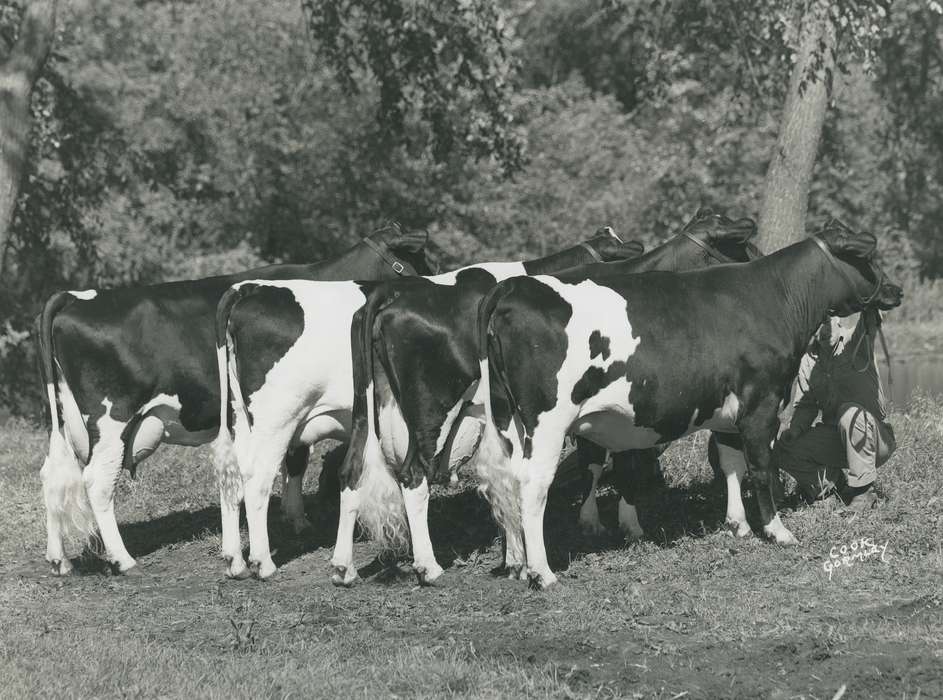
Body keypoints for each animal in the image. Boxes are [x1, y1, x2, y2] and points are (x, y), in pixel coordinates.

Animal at [36, 224, 433, 576]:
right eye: (421, 259)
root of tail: (76, 297)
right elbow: (292, 459)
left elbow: (294, 460)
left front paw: (295, 519)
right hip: (111, 420)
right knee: (96, 482)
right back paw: (123, 560)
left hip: (67, 423)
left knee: (53, 474)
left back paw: (61, 560)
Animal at [213, 228, 644, 580]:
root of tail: (248, 289)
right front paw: (524, 559)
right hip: (279, 419)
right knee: (258, 478)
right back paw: (264, 563)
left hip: (245, 421)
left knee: (236, 474)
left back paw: (244, 560)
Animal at [336, 208, 760, 587]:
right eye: (743, 247)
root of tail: (389, 295)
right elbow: (618, 460)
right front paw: (622, 525)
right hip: (433, 409)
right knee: (414, 476)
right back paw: (430, 567)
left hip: (371, 410)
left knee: (353, 470)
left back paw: (345, 568)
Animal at [471, 219, 903, 589]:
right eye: (865, 257)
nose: (895, 289)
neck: (774, 298)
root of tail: (511, 289)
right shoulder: (761, 404)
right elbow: (761, 467)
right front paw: (777, 531)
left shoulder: (728, 413)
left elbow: (732, 465)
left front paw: (738, 524)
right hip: (547, 421)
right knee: (533, 484)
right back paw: (542, 573)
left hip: (508, 419)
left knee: (505, 479)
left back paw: (517, 563)